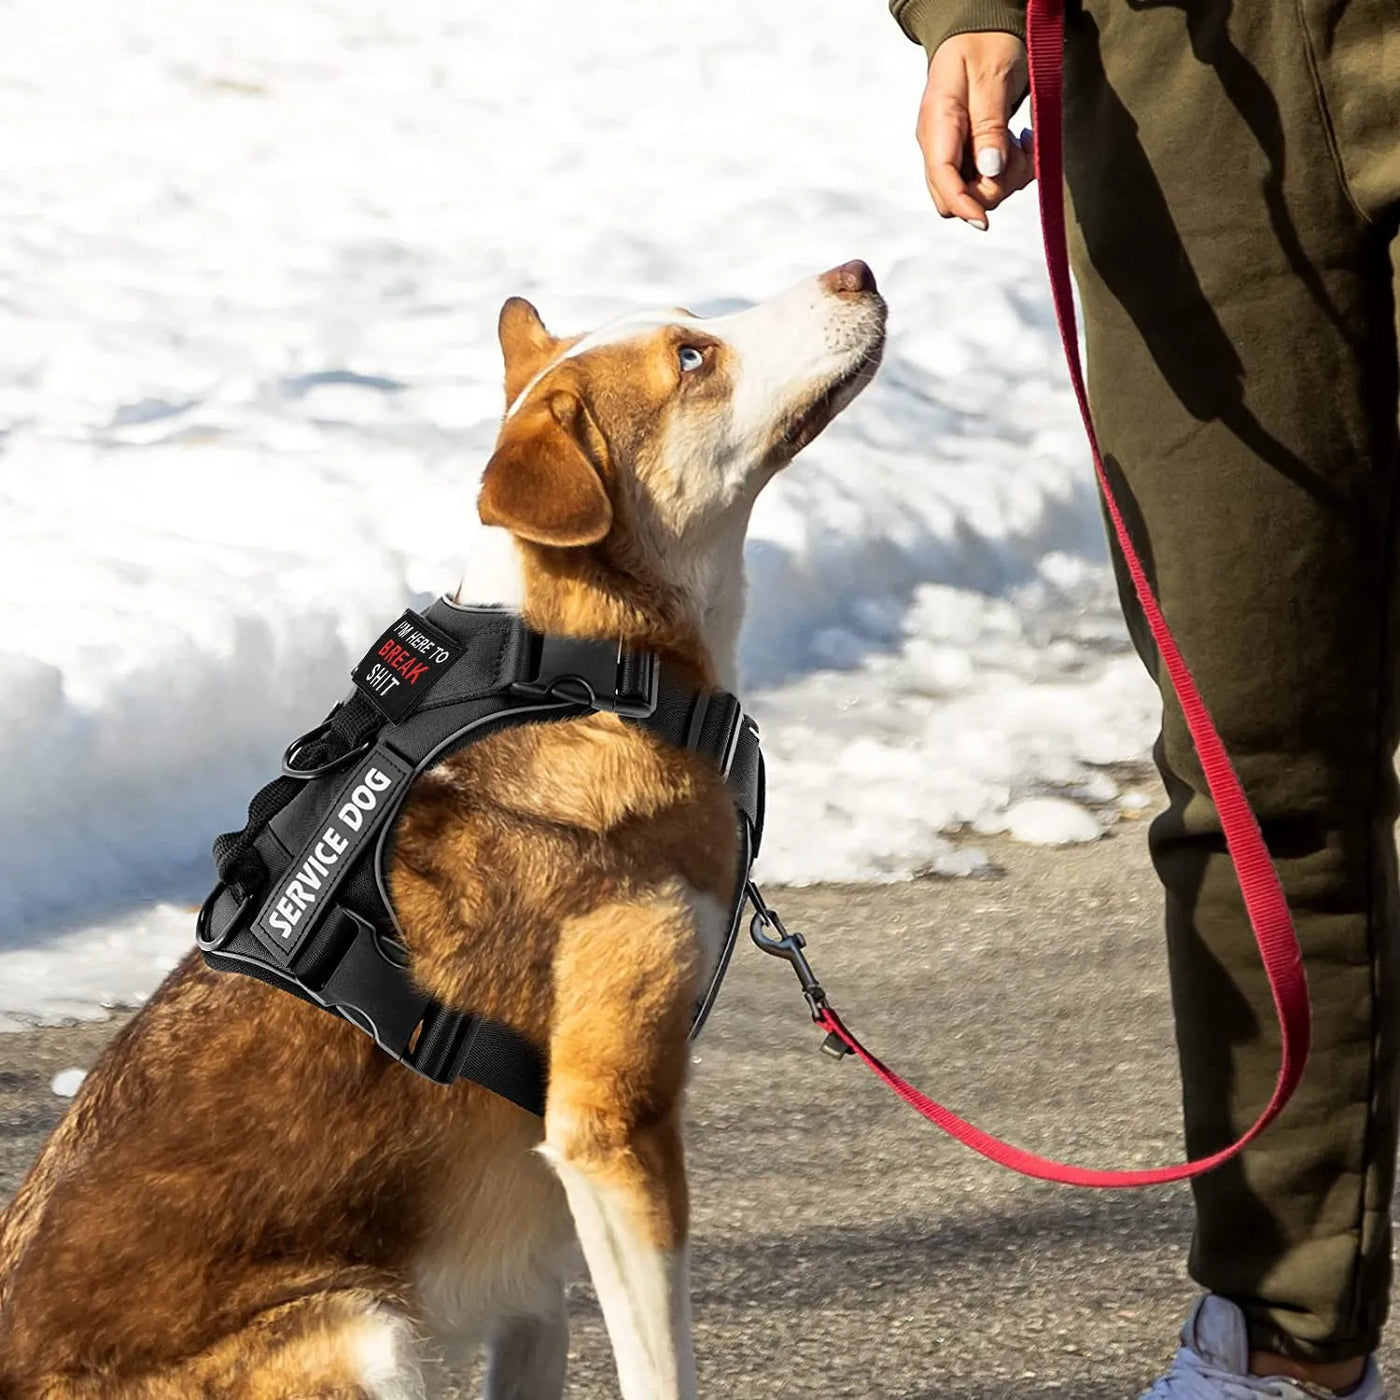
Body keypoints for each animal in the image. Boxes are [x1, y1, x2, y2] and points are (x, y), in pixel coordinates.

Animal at [0, 263, 884, 1400]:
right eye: (693, 358)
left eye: (691, 321)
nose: (855, 270)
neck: (580, 670)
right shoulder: (611, 1124)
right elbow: (661, 1369)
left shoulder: (538, 1265)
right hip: (366, 1330)